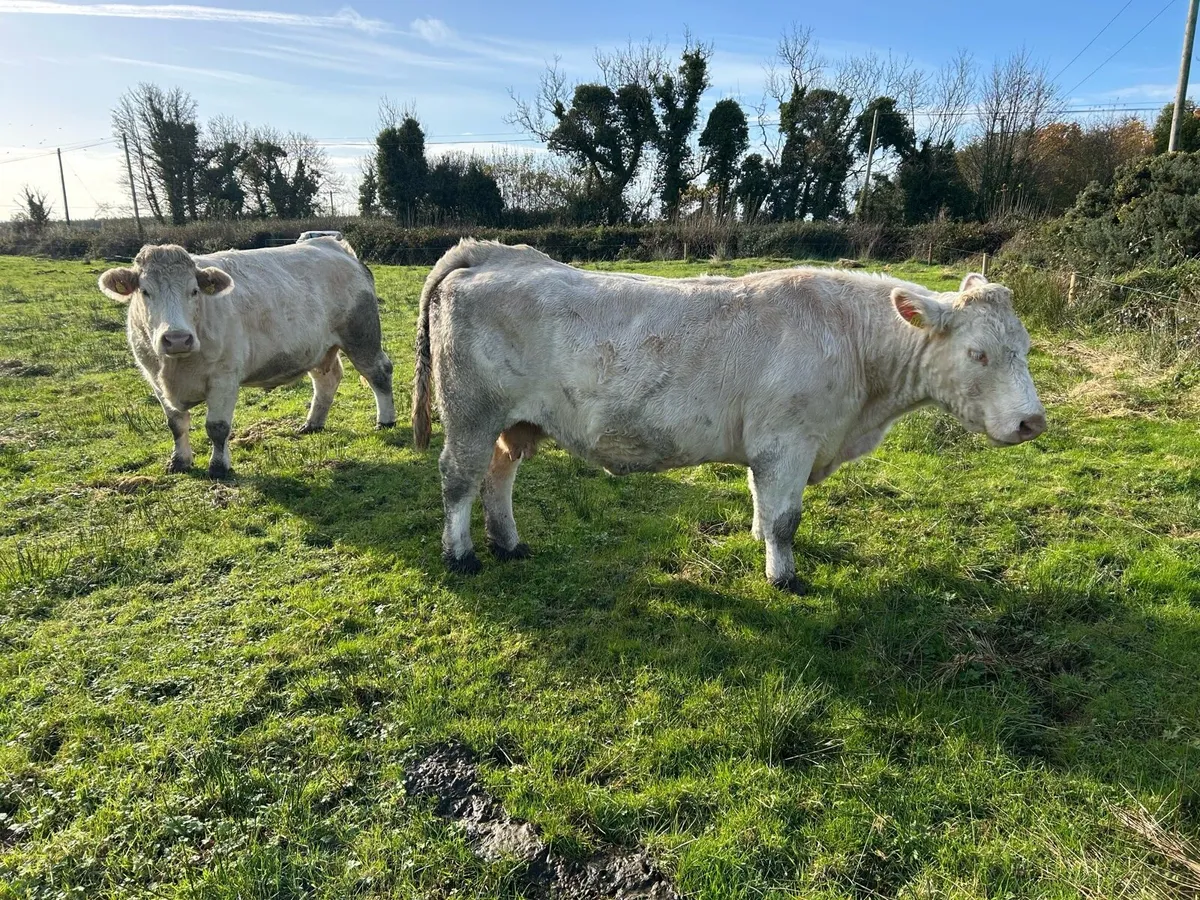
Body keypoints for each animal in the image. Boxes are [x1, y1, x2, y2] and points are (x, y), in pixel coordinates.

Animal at [98, 238, 395, 478]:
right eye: (145, 291)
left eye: (193, 290)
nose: (177, 338)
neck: (176, 367)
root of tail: (334, 246)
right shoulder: (154, 379)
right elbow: (176, 425)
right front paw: (179, 461)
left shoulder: (224, 377)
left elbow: (217, 427)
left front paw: (219, 467)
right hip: (318, 347)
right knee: (327, 380)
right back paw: (313, 423)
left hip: (361, 336)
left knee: (379, 372)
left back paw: (386, 420)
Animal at [411, 240, 1046, 593]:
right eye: (978, 353)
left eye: (1026, 347)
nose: (1032, 423)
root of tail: (491, 253)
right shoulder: (789, 442)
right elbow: (786, 519)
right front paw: (784, 577)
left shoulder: (768, 447)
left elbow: (763, 505)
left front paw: (760, 542)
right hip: (470, 414)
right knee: (458, 480)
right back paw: (462, 555)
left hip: (514, 423)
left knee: (498, 477)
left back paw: (509, 544)